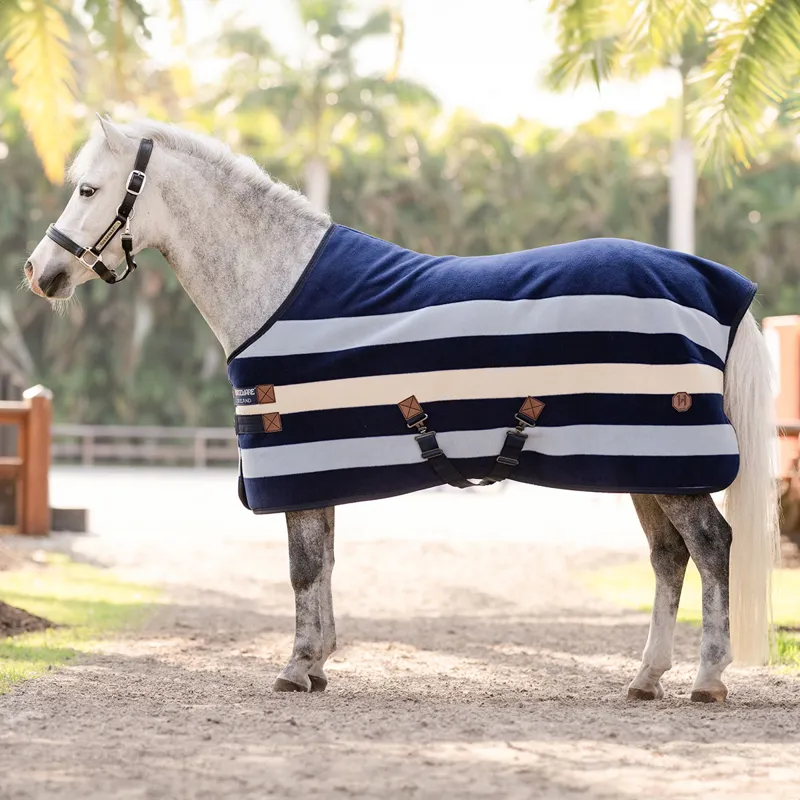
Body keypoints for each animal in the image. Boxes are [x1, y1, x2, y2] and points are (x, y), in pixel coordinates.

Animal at [25, 116, 779, 702]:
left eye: (88, 189)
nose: (40, 273)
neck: (278, 283)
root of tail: (713, 284)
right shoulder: (315, 472)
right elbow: (325, 564)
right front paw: (319, 663)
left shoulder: (295, 465)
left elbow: (303, 568)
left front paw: (296, 668)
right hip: (643, 464)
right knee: (667, 558)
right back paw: (646, 677)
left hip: (670, 466)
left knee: (710, 547)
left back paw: (707, 678)